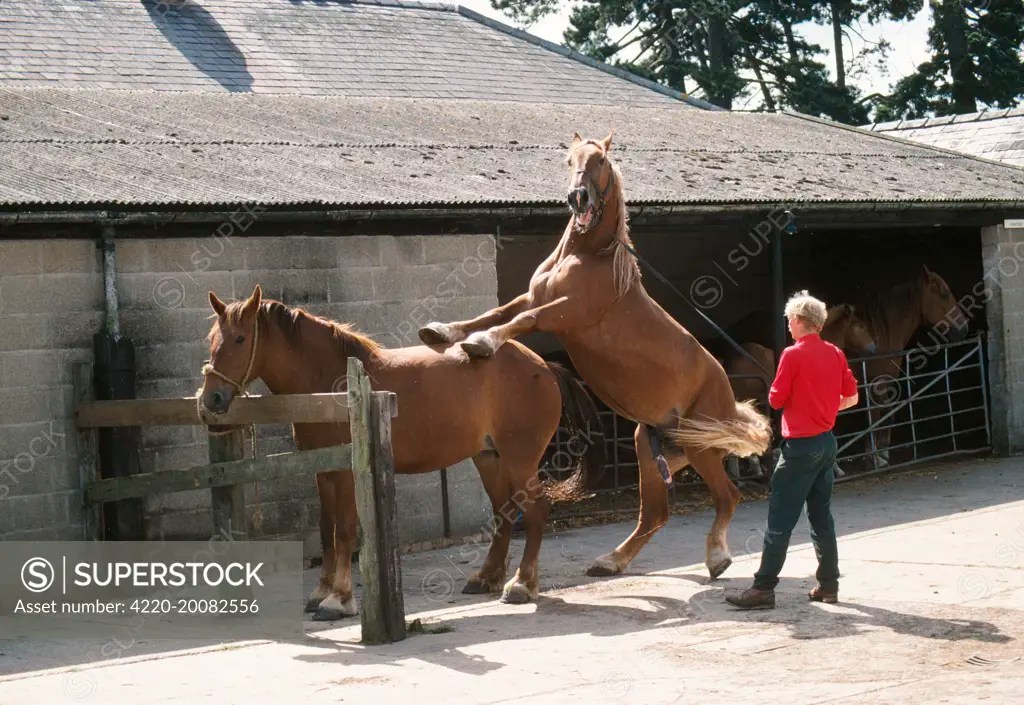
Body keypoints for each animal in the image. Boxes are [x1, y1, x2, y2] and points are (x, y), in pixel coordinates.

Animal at [197, 285, 603, 619]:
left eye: (239, 338)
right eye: (211, 338)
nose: (210, 400)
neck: (328, 384)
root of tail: (543, 365)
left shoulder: (346, 472)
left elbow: (344, 531)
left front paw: (338, 599)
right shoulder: (322, 471)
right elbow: (326, 528)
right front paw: (320, 592)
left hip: (519, 460)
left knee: (536, 510)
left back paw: (521, 585)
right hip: (489, 458)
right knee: (504, 512)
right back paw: (485, 578)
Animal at [418, 131, 771, 580]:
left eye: (600, 161)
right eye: (570, 160)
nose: (578, 197)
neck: (589, 256)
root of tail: (725, 390)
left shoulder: (565, 313)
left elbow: (521, 320)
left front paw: (482, 343)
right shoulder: (534, 296)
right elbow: (495, 312)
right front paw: (442, 331)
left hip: (701, 448)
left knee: (727, 497)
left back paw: (717, 557)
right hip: (656, 452)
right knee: (654, 515)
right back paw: (610, 561)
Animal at [854, 267, 968, 468]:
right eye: (944, 294)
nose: (964, 330)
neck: (879, 334)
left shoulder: (888, 380)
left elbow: (887, 414)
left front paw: (882, 454)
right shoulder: (876, 383)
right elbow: (874, 416)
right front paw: (873, 457)